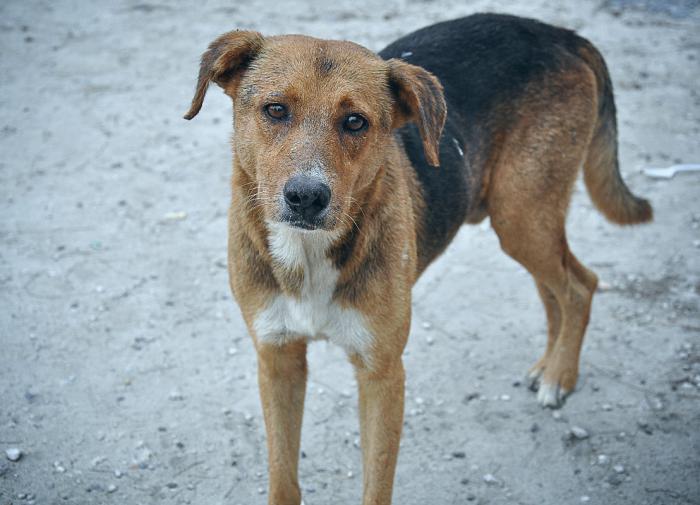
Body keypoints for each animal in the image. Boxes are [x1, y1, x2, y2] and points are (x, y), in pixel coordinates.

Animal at [185, 12, 652, 504]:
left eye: (355, 122)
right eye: (275, 110)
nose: (307, 197)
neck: (308, 253)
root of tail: (557, 33)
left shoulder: (383, 374)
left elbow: (376, 485)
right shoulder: (278, 361)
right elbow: (282, 478)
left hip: (522, 215)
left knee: (580, 285)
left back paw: (559, 376)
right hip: (523, 222)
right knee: (556, 289)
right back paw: (550, 365)